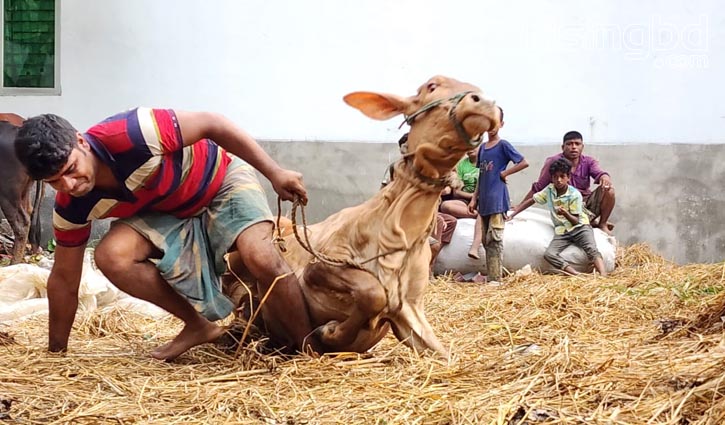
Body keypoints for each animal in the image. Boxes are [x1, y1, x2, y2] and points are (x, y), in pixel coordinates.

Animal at [226, 75, 498, 354]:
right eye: (431, 86)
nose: (486, 103)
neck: (396, 234)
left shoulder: (409, 309)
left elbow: (442, 353)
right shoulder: (321, 266)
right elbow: (372, 293)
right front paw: (329, 331)